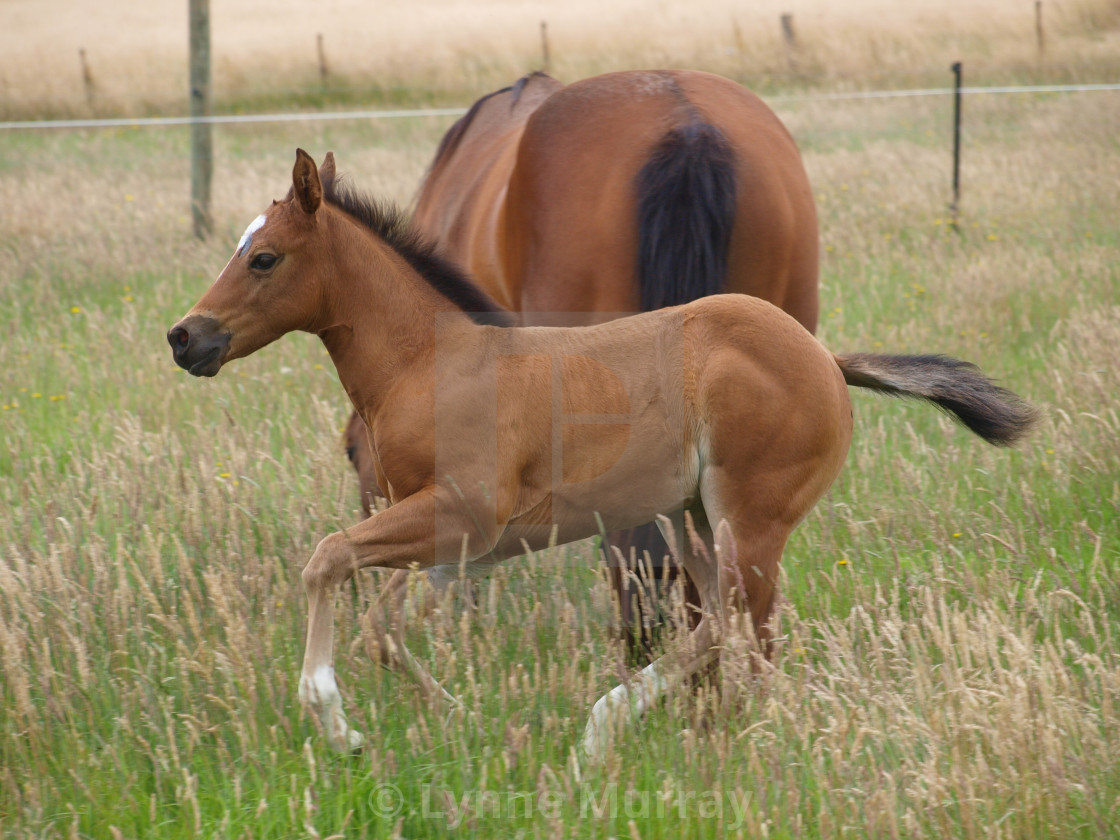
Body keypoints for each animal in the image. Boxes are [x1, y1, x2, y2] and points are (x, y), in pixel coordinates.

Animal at [165, 151, 1030, 761]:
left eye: (265, 257)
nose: (185, 336)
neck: (429, 362)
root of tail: (824, 357)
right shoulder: (444, 537)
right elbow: (383, 627)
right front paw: (454, 715)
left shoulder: (463, 515)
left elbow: (327, 556)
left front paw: (332, 719)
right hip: (689, 516)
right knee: (718, 624)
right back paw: (617, 728)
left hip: (746, 519)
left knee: (747, 636)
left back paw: (687, 736)